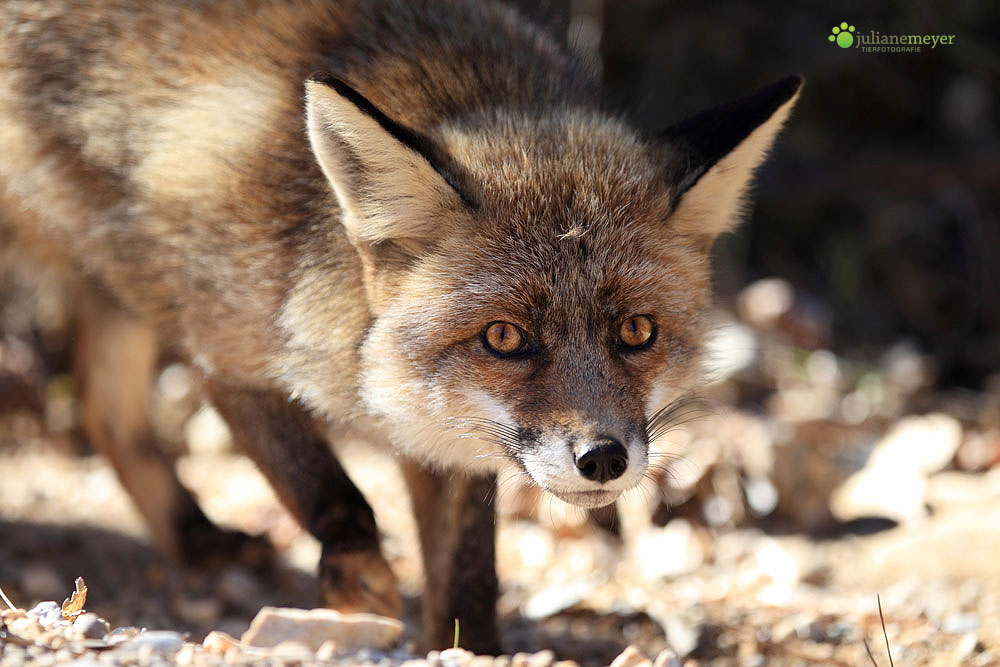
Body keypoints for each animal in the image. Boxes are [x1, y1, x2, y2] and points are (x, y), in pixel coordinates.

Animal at [0, 0, 796, 656]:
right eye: (505, 338)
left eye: (635, 330)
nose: (602, 458)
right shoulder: (222, 339)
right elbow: (331, 489)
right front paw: (358, 582)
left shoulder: (447, 433)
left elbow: (469, 570)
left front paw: (472, 647)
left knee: (101, 408)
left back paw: (196, 540)